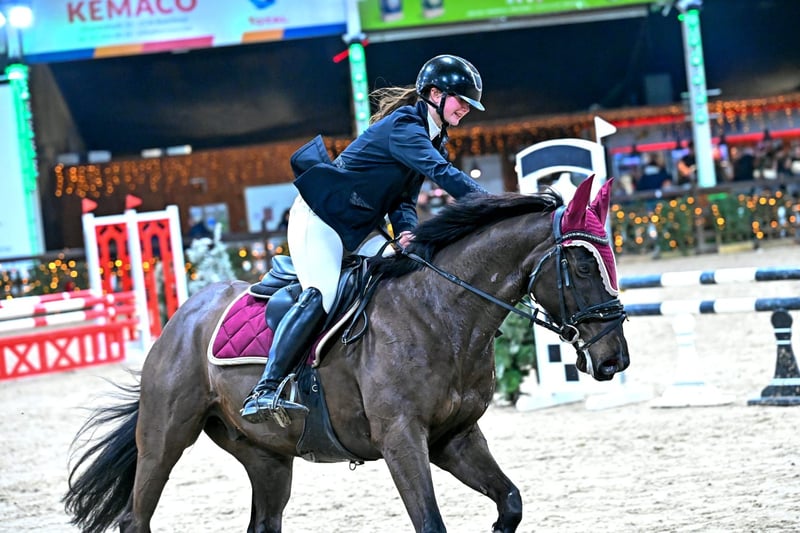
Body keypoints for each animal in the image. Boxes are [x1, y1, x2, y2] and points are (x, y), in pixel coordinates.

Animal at [64, 176, 629, 533]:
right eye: (583, 267)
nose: (614, 361)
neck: (444, 313)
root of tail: (182, 318)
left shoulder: (455, 437)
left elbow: (509, 503)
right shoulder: (401, 438)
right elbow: (431, 522)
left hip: (267, 456)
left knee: (263, 521)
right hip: (165, 438)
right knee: (136, 517)